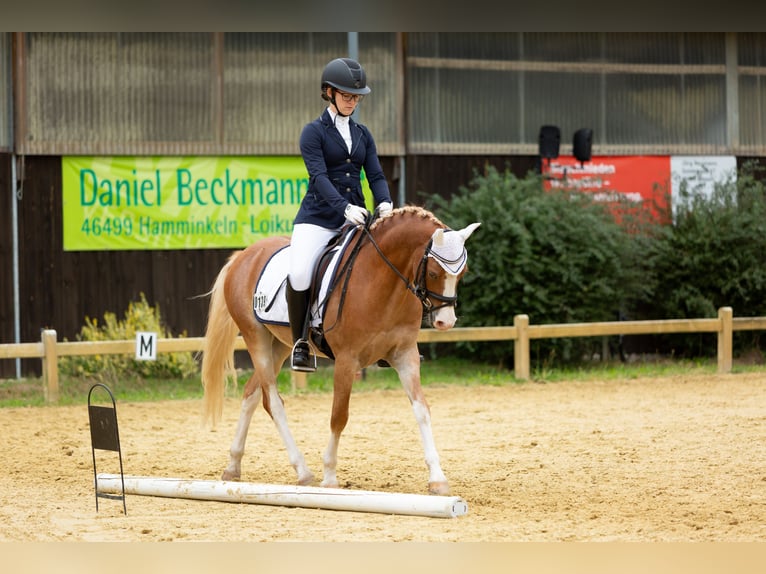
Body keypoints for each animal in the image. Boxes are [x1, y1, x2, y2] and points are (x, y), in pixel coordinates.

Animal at [202, 207, 480, 496]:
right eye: (434, 273)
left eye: (463, 273)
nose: (445, 322)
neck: (381, 279)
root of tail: (244, 255)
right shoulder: (347, 360)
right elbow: (339, 416)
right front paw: (329, 476)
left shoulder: (406, 356)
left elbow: (422, 410)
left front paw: (437, 478)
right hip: (255, 338)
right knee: (274, 402)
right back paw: (303, 471)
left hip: (278, 345)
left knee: (252, 395)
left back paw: (233, 466)